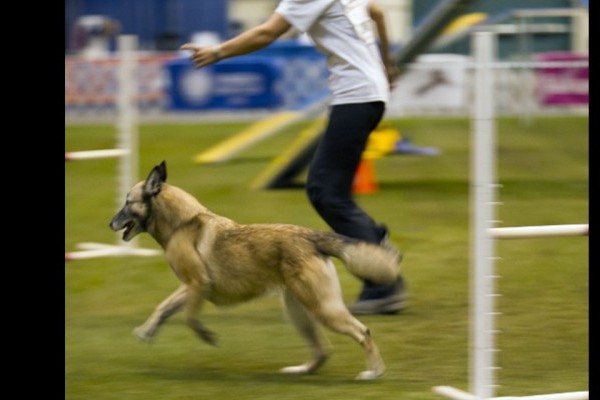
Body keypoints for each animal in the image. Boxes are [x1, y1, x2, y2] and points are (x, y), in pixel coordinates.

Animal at [110, 160, 406, 382]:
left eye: (127, 202)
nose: (110, 223)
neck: (183, 223)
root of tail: (311, 237)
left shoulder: (198, 284)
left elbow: (190, 320)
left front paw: (207, 336)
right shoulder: (190, 287)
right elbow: (163, 308)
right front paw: (147, 331)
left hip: (323, 309)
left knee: (363, 333)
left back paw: (374, 372)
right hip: (298, 311)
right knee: (322, 350)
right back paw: (301, 370)